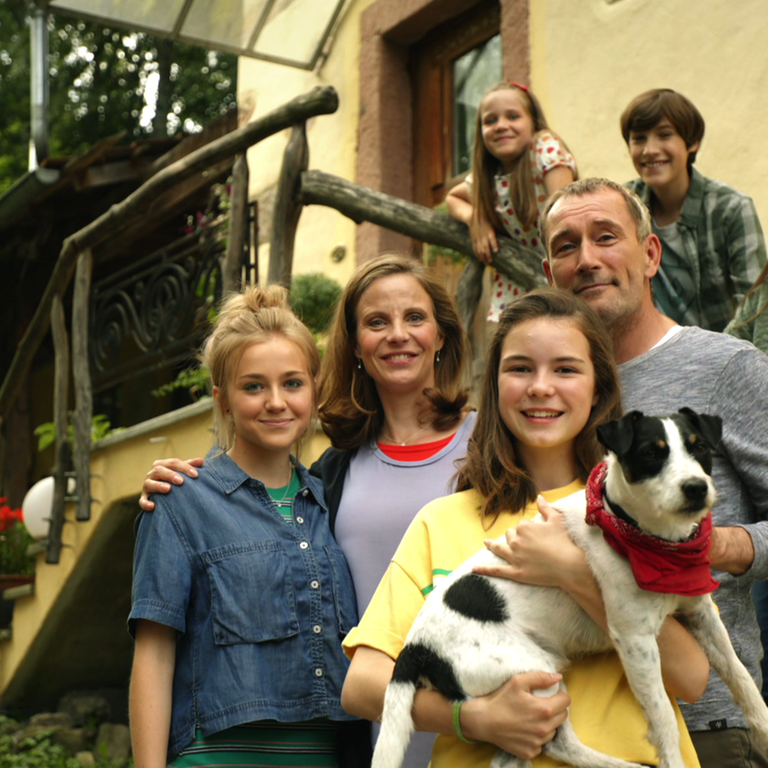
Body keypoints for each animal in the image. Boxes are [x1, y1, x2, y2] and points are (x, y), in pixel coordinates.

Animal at [376, 412, 768, 768]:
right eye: (651, 453)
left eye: (699, 447)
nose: (696, 488)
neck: (649, 539)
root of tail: (415, 647)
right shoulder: (635, 639)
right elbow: (664, 720)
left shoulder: (701, 614)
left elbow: (742, 677)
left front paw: (763, 726)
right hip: (533, 678)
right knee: (558, 745)